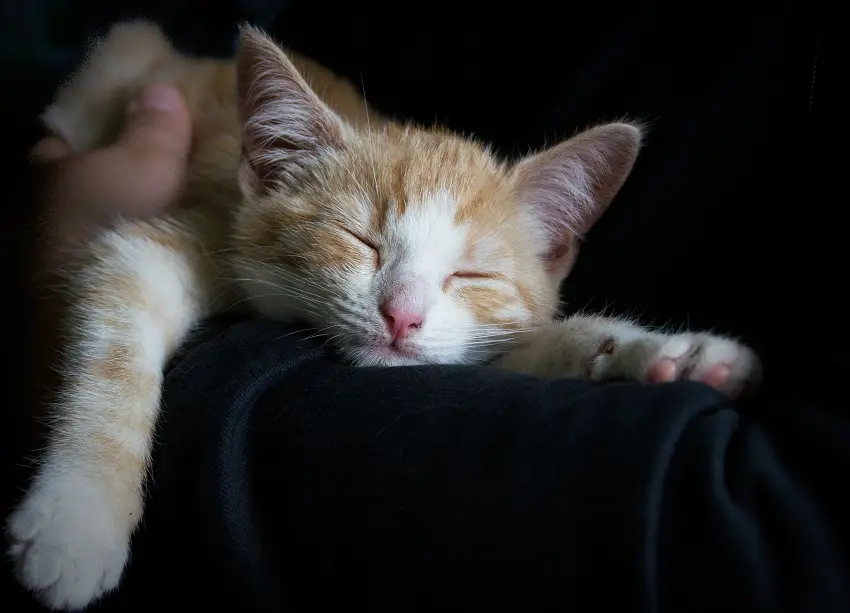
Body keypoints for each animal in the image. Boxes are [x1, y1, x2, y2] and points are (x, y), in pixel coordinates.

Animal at [6, 21, 760, 608]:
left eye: (470, 275)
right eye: (359, 240)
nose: (401, 316)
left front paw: (661, 355)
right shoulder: (188, 233)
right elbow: (116, 334)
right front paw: (78, 519)